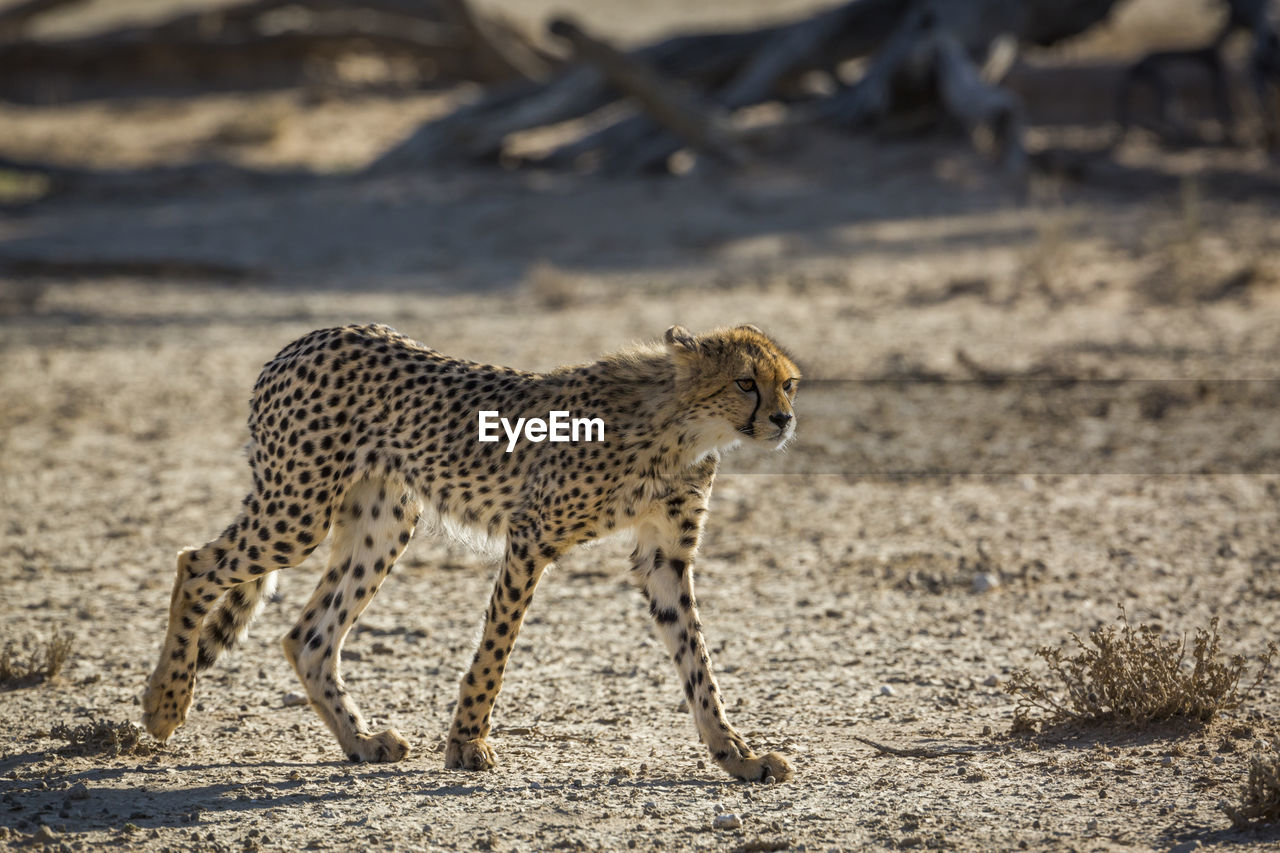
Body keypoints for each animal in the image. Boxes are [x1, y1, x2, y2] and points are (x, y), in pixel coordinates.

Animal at [142, 322, 798, 778]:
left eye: (787, 383)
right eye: (745, 382)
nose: (785, 420)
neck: (680, 424)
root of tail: (305, 340)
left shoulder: (664, 559)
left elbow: (697, 660)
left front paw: (736, 755)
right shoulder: (531, 536)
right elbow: (496, 648)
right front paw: (466, 743)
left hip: (384, 520)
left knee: (308, 636)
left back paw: (361, 742)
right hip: (298, 510)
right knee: (195, 563)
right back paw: (165, 704)